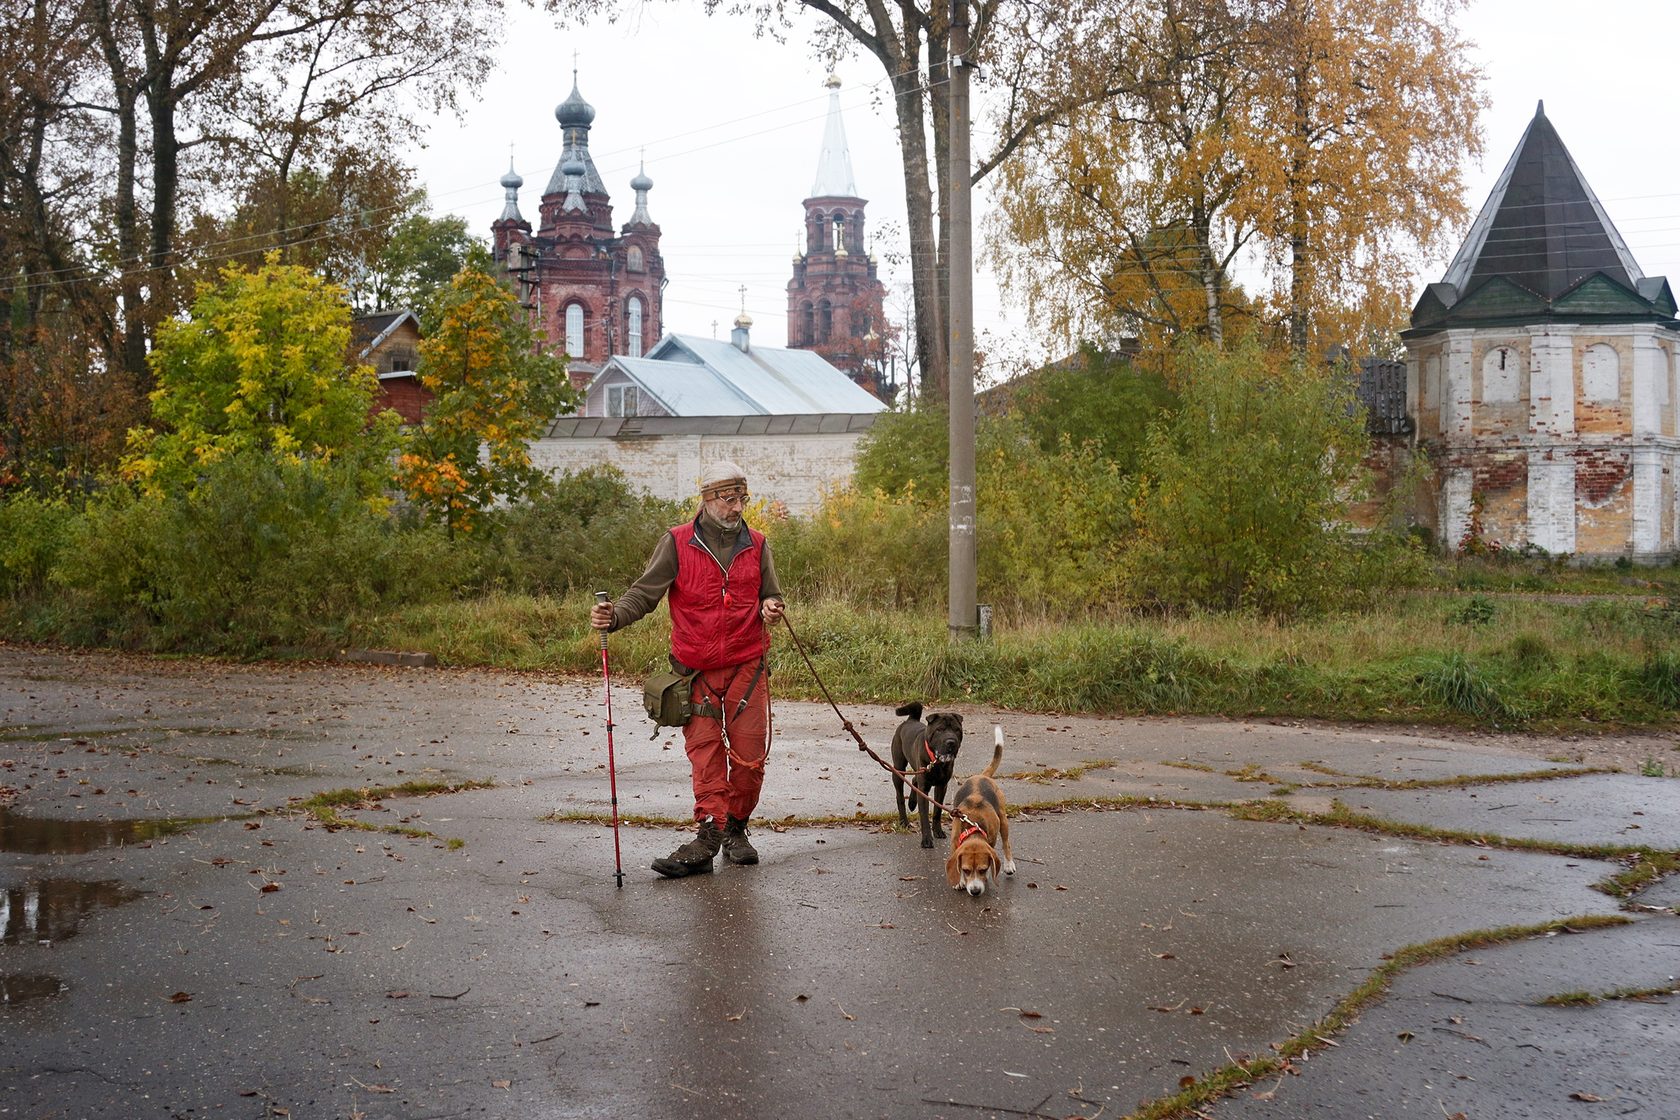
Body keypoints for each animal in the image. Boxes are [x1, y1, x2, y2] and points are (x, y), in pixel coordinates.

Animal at [887, 701, 967, 849]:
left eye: (957, 730)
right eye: (940, 730)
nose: (951, 742)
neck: (937, 762)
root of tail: (910, 720)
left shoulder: (942, 786)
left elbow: (937, 811)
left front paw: (938, 831)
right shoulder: (924, 788)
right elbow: (924, 815)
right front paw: (927, 839)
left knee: (914, 779)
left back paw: (912, 803)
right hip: (898, 768)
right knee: (900, 796)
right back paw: (904, 821)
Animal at [940, 732, 1014, 900]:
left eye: (983, 869)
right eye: (966, 870)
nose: (975, 891)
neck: (973, 827)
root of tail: (981, 776)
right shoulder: (954, 843)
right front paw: (959, 881)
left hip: (1003, 819)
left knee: (1006, 843)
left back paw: (1009, 864)